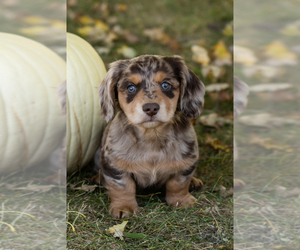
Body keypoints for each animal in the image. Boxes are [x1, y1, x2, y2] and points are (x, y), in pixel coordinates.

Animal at [98, 55, 206, 219]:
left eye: (166, 85)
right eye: (131, 88)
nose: (151, 108)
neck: (152, 136)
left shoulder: (187, 162)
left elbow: (179, 184)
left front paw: (182, 201)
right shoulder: (113, 165)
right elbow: (123, 186)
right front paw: (123, 207)